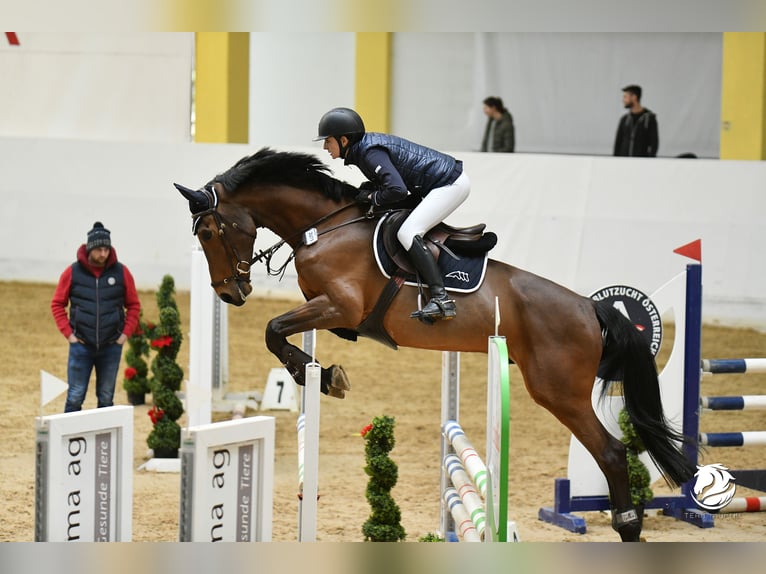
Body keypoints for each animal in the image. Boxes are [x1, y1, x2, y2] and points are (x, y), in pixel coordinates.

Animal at [176, 147, 696, 542]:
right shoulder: (329, 311)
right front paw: (321, 374)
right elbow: (282, 330)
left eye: (209, 231)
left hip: (558, 391)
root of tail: (589, 308)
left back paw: (627, 525)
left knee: (611, 452)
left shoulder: (341, 306)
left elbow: (272, 328)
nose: (229, 293)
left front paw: (323, 378)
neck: (322, 226)